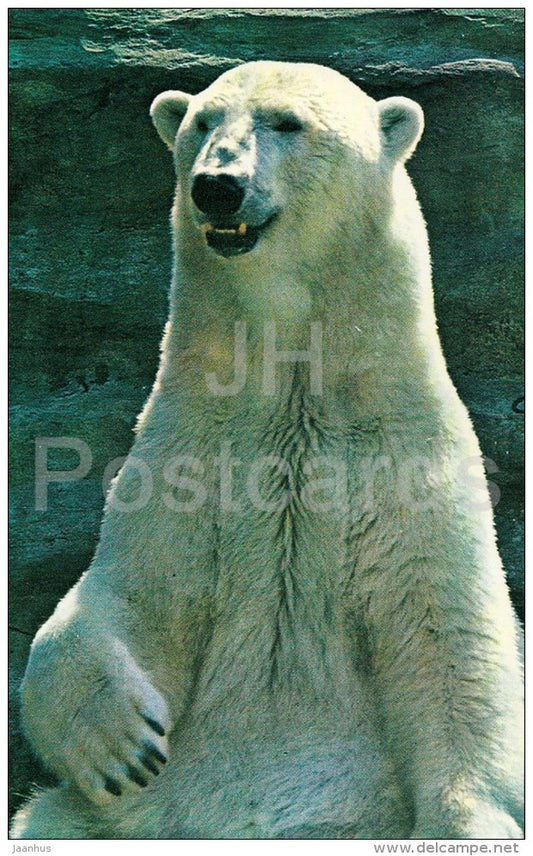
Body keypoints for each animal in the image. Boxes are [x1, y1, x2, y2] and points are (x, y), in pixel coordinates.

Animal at [11, 61, 523, 840]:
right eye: (202, 122)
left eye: (286, 122)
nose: (217, 184)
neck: (293, 392)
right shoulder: (187, 455)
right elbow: (127, 592)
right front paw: (121, 746)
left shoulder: (407, 465)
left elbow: (450, 638)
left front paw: (465, 821)